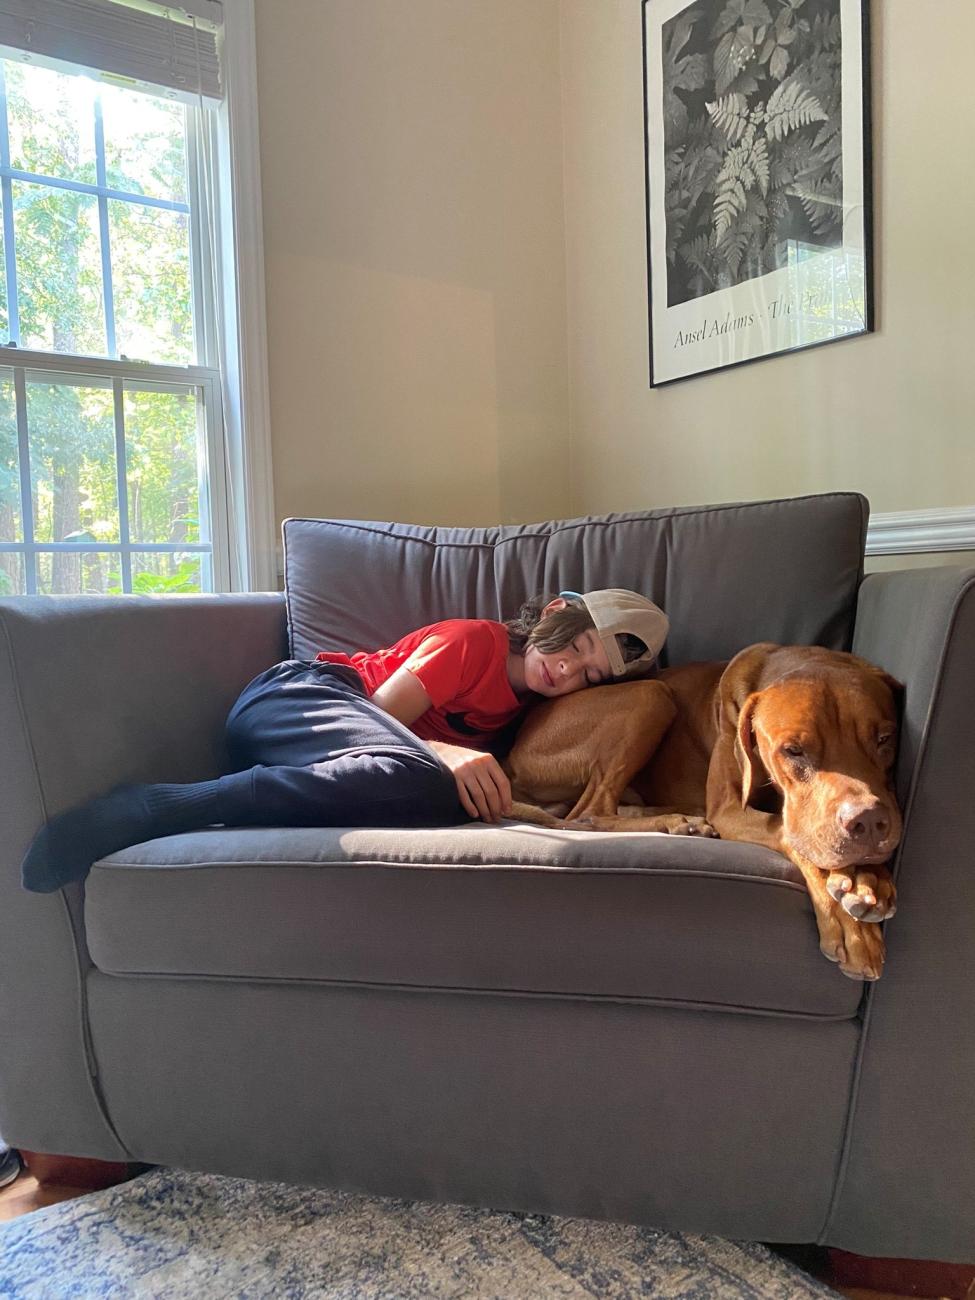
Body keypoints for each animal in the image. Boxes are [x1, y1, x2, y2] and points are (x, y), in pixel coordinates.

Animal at [506, 644, 904, 977]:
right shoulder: (730, 809)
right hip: (651, 694)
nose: (869, 822)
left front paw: (870, 879)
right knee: (587, 812)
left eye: (885, 739)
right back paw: (676, 822)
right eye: (793, 751)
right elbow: (790, 832)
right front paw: (851, 925)